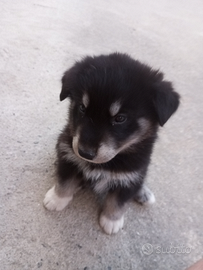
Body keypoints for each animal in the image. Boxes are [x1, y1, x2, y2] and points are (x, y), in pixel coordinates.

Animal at [43, 52, 180, 234]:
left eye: (120, 118)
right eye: (82, 108)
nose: (85, 153)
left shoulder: (131, 173)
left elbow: (118, 200)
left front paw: (112, 220)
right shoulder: (67, 153)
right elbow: (65, 180)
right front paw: (56, 199)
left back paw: (144, 194)